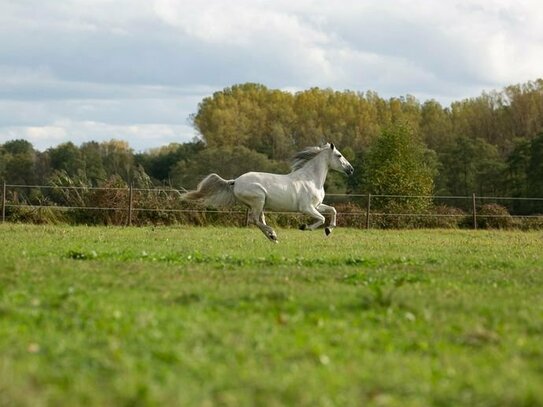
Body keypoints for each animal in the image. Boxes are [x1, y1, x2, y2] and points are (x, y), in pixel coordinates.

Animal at [181, 144, 354, 242]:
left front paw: (329, 230)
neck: (310, 178)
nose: (351, 169)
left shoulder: (317, 206)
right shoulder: (306, 208)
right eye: (339, 155)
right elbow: (321, 218)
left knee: (259, 220)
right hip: (258, 201)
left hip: (258, 205)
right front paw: (305, 227)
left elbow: (333, 210)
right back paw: (272, 234)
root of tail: (235, 181)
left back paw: (272, 237)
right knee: (254, 220)